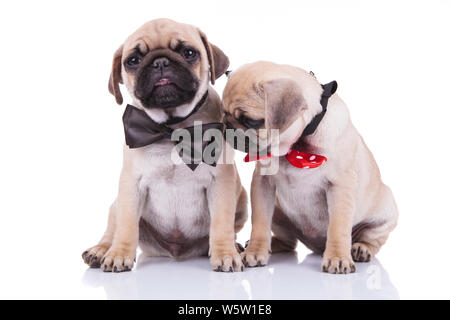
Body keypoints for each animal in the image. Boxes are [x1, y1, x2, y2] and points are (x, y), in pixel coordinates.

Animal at [82, 18, 248, 272]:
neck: (171, 127)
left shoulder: (221, 183)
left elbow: (221, 224)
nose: (160, 62)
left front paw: (226, 254)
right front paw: (119, 254)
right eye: (133, 61)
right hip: (116, 204)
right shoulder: (131, 185)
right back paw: (100, 250)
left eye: (189, 53)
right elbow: (126, 225)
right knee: (113, 227)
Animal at [221, 61, 398, 274]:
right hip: (279, 214)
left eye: (250, 121)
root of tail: (317, 247)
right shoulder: (263, 184)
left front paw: (338, 257)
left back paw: (360, 248)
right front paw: (255, 252)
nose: (227, 126)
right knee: (288, 241)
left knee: (372, 239)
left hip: (385, 214)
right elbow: (260, 223)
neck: (297, 146)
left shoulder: (340, 187)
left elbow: (338, 227)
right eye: (223, 112)